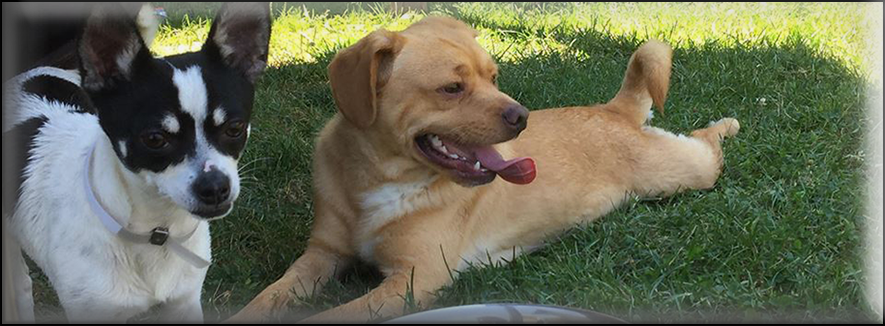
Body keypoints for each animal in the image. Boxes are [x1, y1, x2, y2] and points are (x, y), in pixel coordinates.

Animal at [228, 16, 740, 322]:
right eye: (452, 88)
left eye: (494, 78)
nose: (522, 116)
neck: (381, 178)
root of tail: (614, 109)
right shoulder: (321, 256)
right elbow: (267, 297)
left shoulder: (411, 281)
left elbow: (331, 315)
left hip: (680, 173)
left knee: (707, 145)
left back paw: (727, 125)